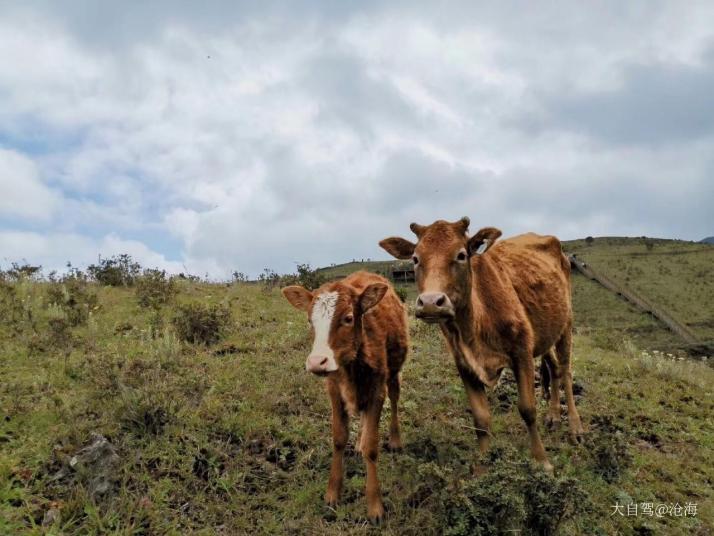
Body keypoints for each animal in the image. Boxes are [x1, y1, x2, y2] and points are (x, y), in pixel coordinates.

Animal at [280, 272, 408, 520]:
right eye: (310, 321)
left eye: (348, 318)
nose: (317, 362)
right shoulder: (334, 390)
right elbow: (339, 438)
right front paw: (332, 494)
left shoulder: (377, 389)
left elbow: (372, 446)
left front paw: (375, 505)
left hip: (395, 368)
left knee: (395, 397)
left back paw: (395, 440)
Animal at [382, 216, 580, 472]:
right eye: (415, 259)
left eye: (461, 255)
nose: (431, 303)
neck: (476, 325)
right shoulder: (464, 363)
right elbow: (480, 418)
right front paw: (483, 468)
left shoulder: (522, 353)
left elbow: (528, 409)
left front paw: (541, 461)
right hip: (547, 330)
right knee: (554, 368)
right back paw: (554, 416)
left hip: (566, 322)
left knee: (565, 371)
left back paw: (575, 428)